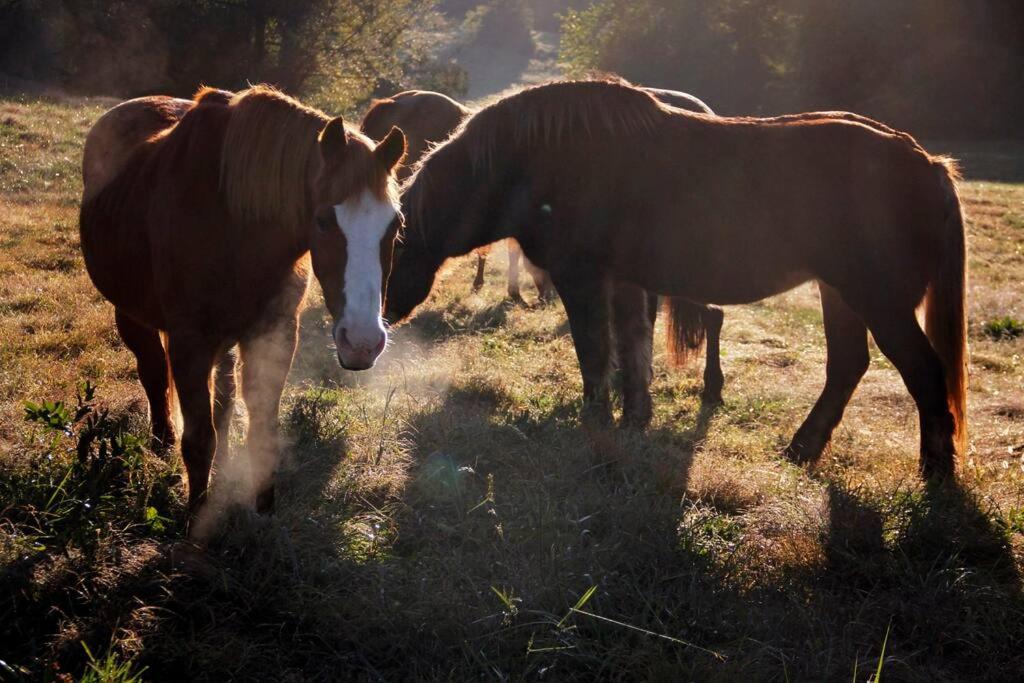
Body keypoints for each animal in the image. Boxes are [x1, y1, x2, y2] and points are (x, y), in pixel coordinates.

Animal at [80, 85, 406, 521]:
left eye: (395, 224)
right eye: (323, 220)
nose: (362, 342)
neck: (235, 225)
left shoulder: (275, 334)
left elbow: (259, 425)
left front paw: (263, 505)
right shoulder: (190, 342)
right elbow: (199, 438)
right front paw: (196, 518)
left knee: (223, 397)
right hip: (132, 316)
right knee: (153, 374)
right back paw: (162, 442)